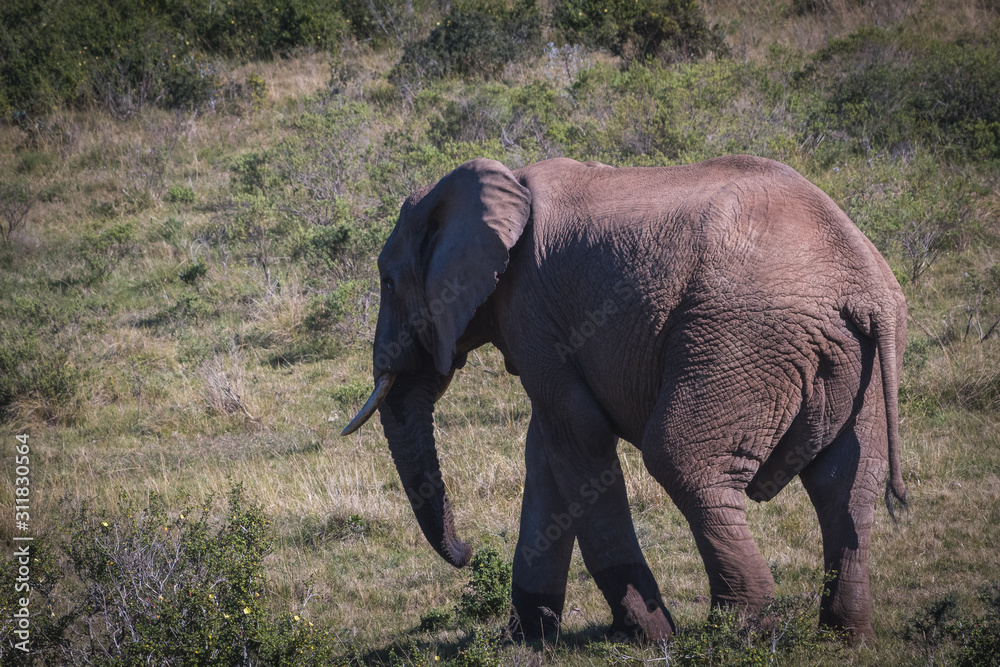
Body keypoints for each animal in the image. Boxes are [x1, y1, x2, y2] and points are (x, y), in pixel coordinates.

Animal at [341, 155, 907, 641]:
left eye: (388, 282)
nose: (468, 551)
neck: (505, 183)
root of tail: (865, 283)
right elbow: (546, 452)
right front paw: (527, 641)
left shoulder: (529, 305)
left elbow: (576, 437)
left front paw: (646, 636)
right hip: (857, 359)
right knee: (847, 482)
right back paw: (843, 636)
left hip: (744, 338)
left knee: (682, 459)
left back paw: (737, 633)